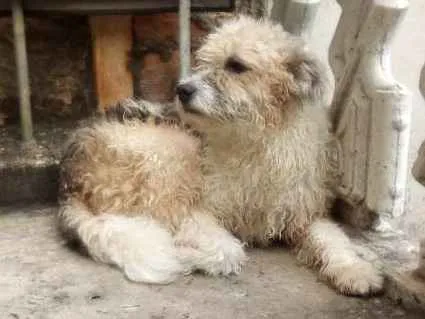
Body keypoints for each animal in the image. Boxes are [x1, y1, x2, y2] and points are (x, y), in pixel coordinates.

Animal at [57, 14, 384, 296]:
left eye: (236, 65)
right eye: (204, 62)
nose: (182, 89)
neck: (257, 140)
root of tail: (68, 177)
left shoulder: (305, 215)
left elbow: (335, 239)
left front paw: (354, 270)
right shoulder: (197, 213)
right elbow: (227, 251)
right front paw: (188, 252)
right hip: (171, 158)